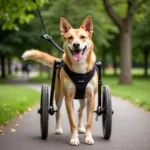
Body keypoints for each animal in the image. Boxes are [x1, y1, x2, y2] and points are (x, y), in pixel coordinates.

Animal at [21, 15, 98, 145]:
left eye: (83, 37)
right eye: (70, 37)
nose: (76, 44)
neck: (80, 68)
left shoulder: (91, 98)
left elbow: (89, 122)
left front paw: (88, 137)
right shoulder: (68, 98)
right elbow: (72, 122)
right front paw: (74, 138)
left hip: (84, 99)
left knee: (80, 111)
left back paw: (81, 128)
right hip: (59, 95)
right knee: (58, 112)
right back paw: (58, 129)